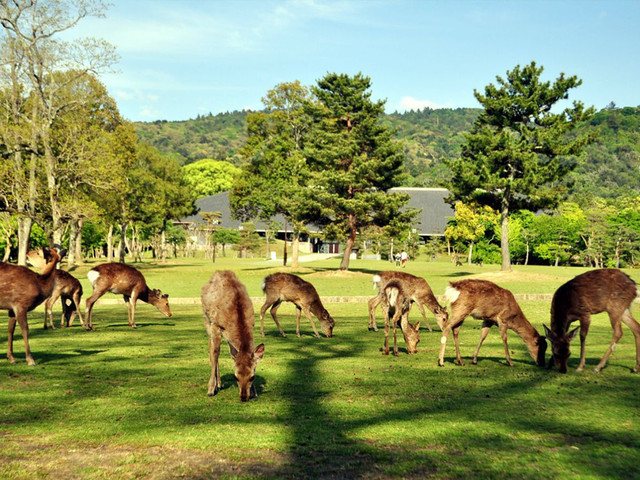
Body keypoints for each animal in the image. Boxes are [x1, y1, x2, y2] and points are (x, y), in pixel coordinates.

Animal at [204, 270, 266, 402]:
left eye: (252, 377)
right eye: (235, 376)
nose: (243, 397)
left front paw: (254, 393)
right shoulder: (216, 325)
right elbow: (215, 353)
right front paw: (211, 389)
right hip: (207, 320)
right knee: (211, 348)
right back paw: (217, 384)